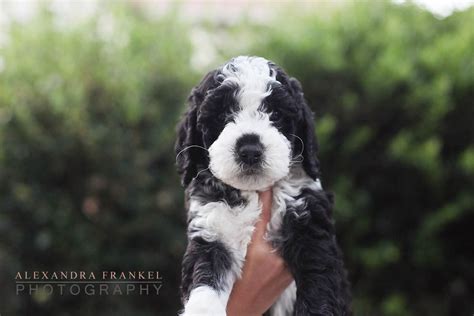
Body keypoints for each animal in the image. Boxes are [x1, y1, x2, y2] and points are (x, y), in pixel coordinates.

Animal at [176, 55, 350, 314]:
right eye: (222, 115)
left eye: (275, 114)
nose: (250, 150)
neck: (254, 192)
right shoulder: (211, 231)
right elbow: (205, 278)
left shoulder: (310, 226)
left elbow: (319, 281)